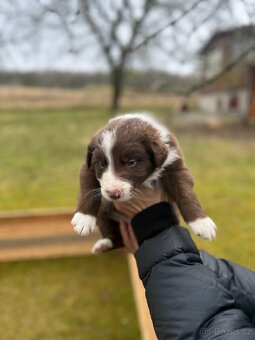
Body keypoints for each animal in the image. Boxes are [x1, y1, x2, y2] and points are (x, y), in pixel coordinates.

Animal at [70, 113, 216, 254]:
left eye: (131, 162)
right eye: (101, 164)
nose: (113, 194)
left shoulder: (175, 164)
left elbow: (185, 193)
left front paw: (202, 223)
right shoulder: (88, 166)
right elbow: (87, 189)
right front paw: (84, 218)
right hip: (104, 214)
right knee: (115, 237)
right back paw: (104, 244)